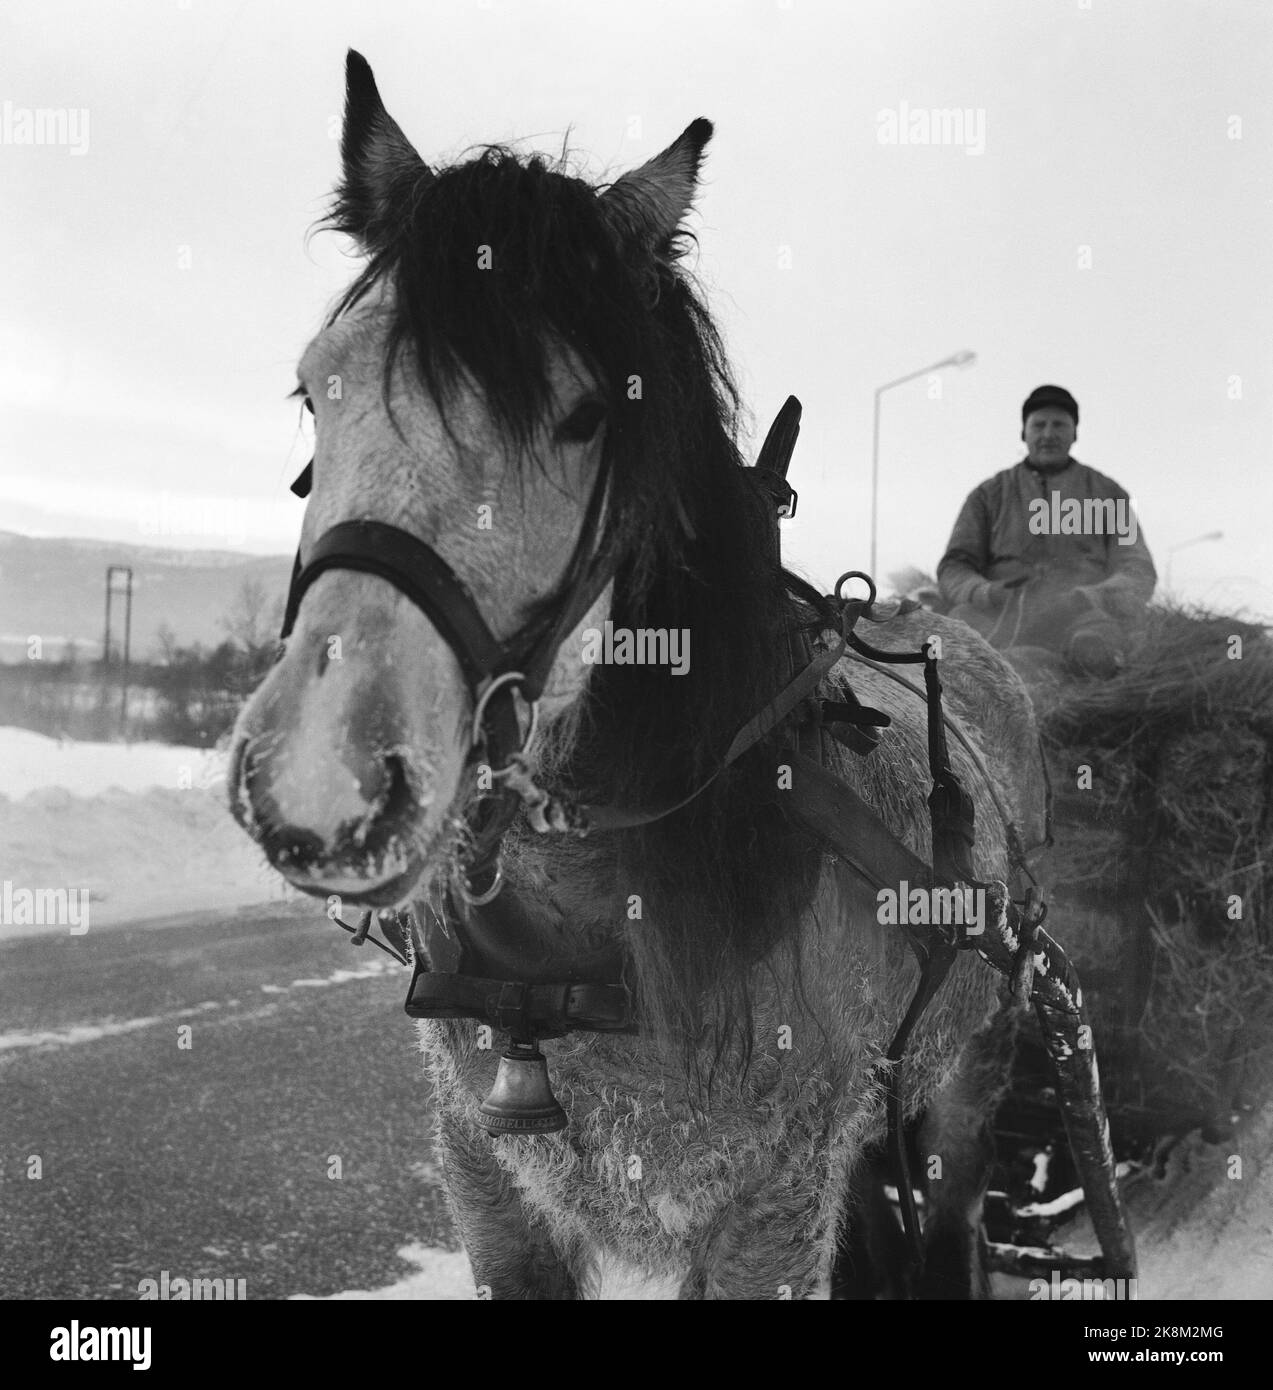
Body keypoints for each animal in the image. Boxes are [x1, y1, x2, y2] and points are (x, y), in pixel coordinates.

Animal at [226, 48, 1045, 1295]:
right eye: (314, 388)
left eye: (580, 415)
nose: (320, 774)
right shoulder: (485, 1175)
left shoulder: (772, 1197)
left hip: (971, 1070)